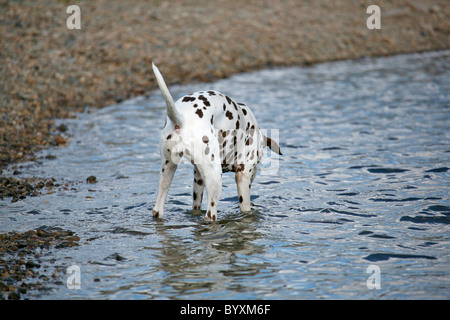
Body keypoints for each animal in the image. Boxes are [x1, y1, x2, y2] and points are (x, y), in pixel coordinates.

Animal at [152, 62, 282, 220]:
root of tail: (181, 119)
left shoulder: (198, 179)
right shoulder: (243, 176)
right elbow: (246, 209)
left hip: (167, 172)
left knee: (157, 209)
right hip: (215, 179)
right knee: (210, 215)